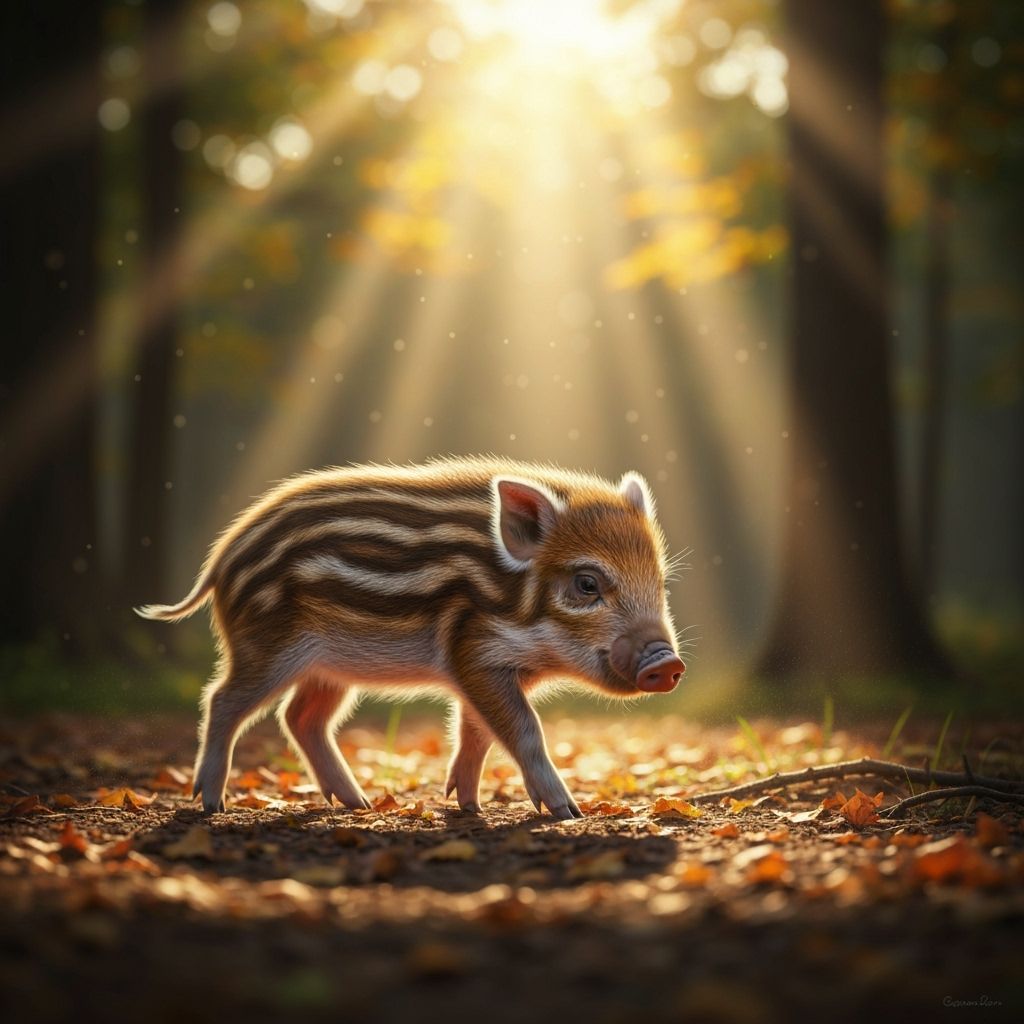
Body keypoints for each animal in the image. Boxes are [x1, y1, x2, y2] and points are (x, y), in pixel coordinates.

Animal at [136, 457, 686, 819]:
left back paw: (356, 803)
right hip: (266, 648)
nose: (668, 662)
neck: (513, 601)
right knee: (223, 699)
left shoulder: (483, 672)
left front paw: (466, 805)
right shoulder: (476, 654)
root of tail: (221, 559)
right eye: (587, 584)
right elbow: (524, 729)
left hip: (331, 667)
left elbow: (477, 732)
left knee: (301, 717)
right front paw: (567, 811)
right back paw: (211, 802)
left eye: (660, 583)